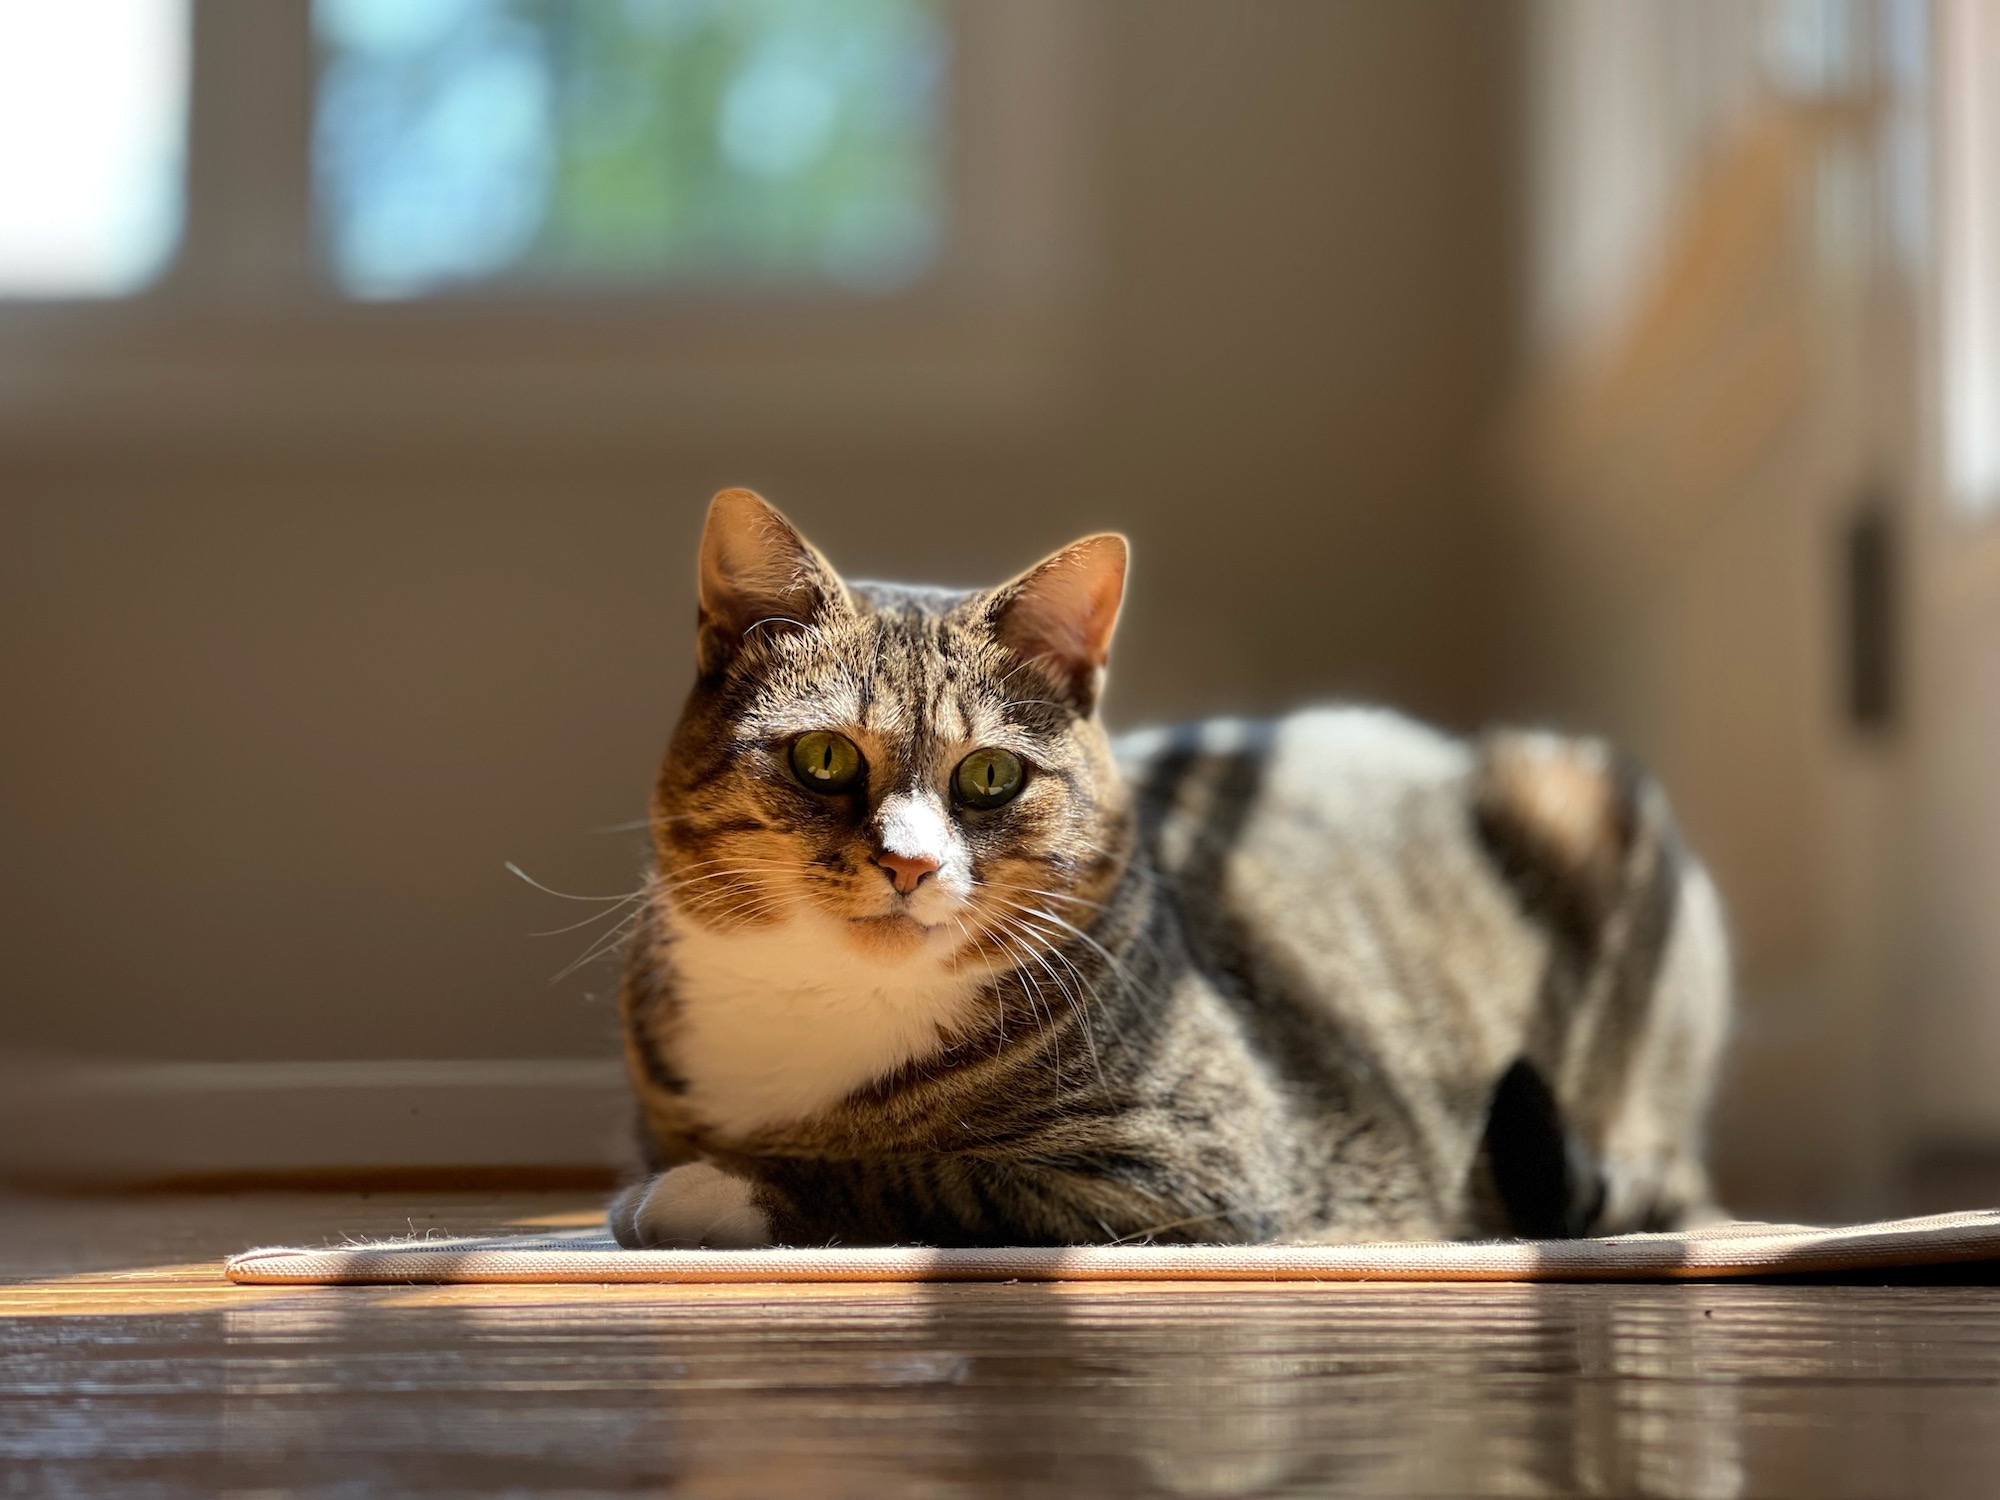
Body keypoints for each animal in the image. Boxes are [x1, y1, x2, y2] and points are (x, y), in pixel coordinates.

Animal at [600, 488, 1728, 1248]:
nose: (908, 865)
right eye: (825, 758)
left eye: (990, 775)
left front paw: (709, 1188)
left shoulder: (1188, 1168)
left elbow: (928, 1172)